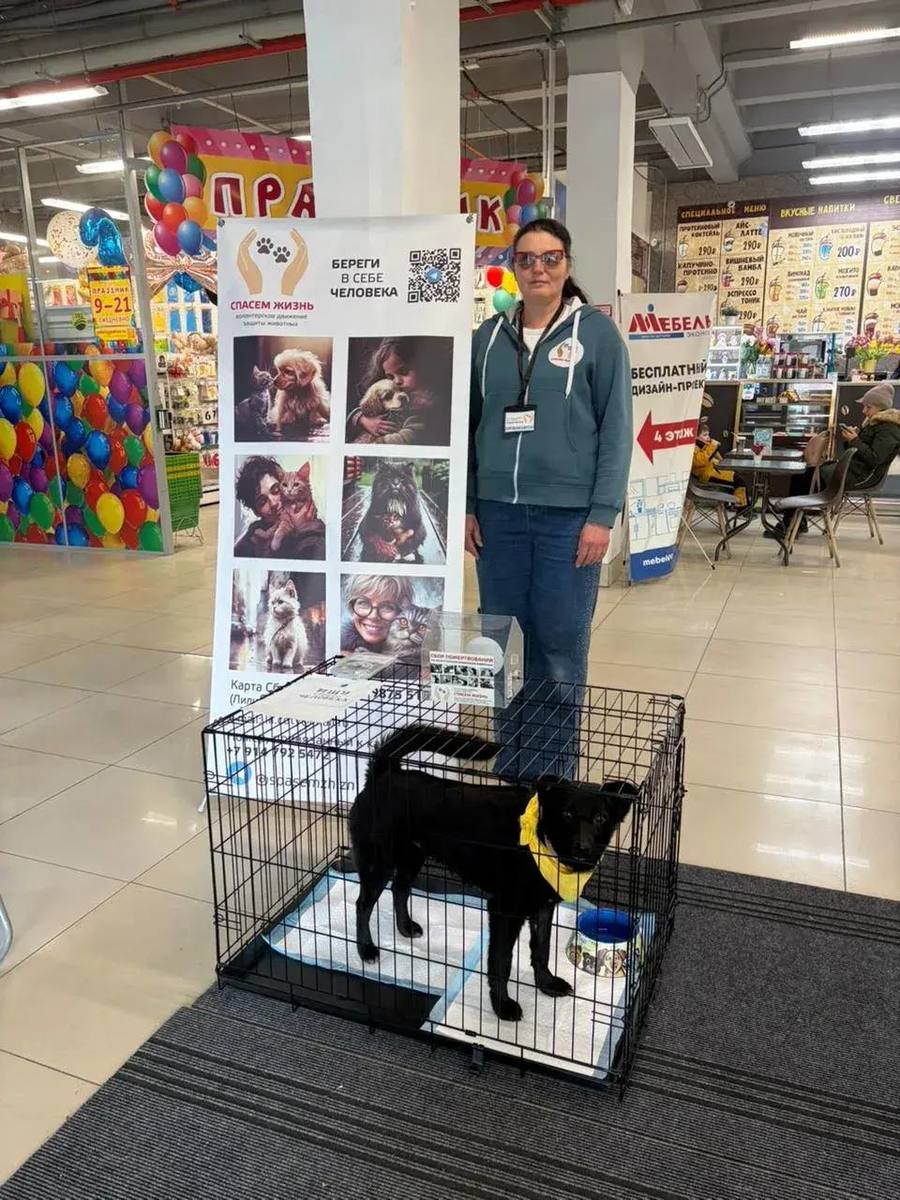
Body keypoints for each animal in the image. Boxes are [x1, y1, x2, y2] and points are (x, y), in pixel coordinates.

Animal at [350, 725, 638, 1022]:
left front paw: (546, 983)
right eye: (567, 814)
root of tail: (385, 772)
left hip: (412, 858)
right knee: (363, 905)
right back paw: (366, 949)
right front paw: (502, 1006)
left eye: (601, 818)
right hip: (378, 863)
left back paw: (405, 927)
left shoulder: (542, 909)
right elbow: (501, 962)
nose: (583, 849)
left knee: (400, 889)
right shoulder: (504, 911)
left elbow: (542, 950)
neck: (542, 841)